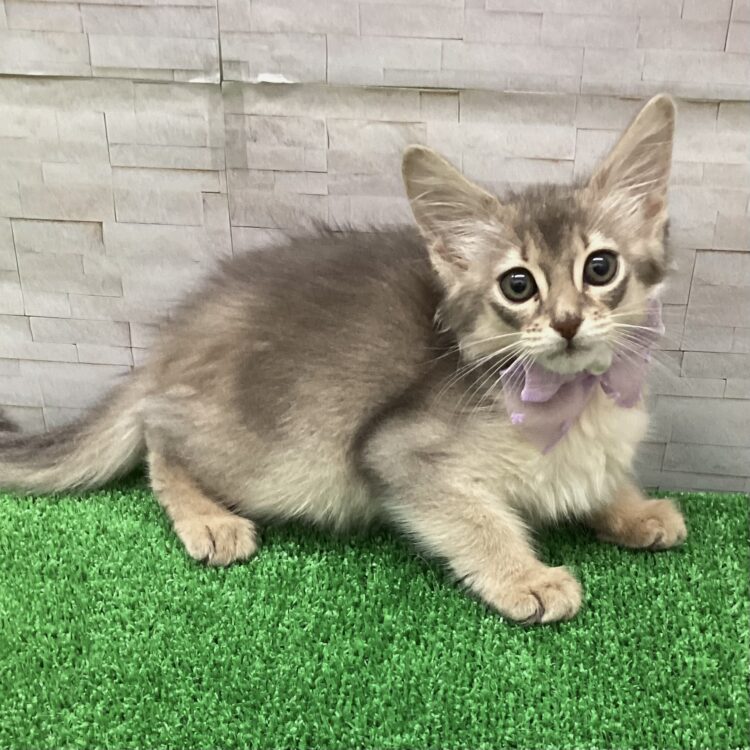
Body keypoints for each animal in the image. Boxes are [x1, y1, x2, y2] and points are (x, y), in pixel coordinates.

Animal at [0, 94, 686, 624]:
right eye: (518, 285)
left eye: (600, 268)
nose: (568, 322)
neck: (572, 401)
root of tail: (172, 344)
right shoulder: (397, 451)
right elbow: (476, 520)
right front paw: (526, 577)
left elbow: (598, 480)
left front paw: (634, 509)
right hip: (272, 453)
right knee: (158, 441)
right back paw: (208, 519)